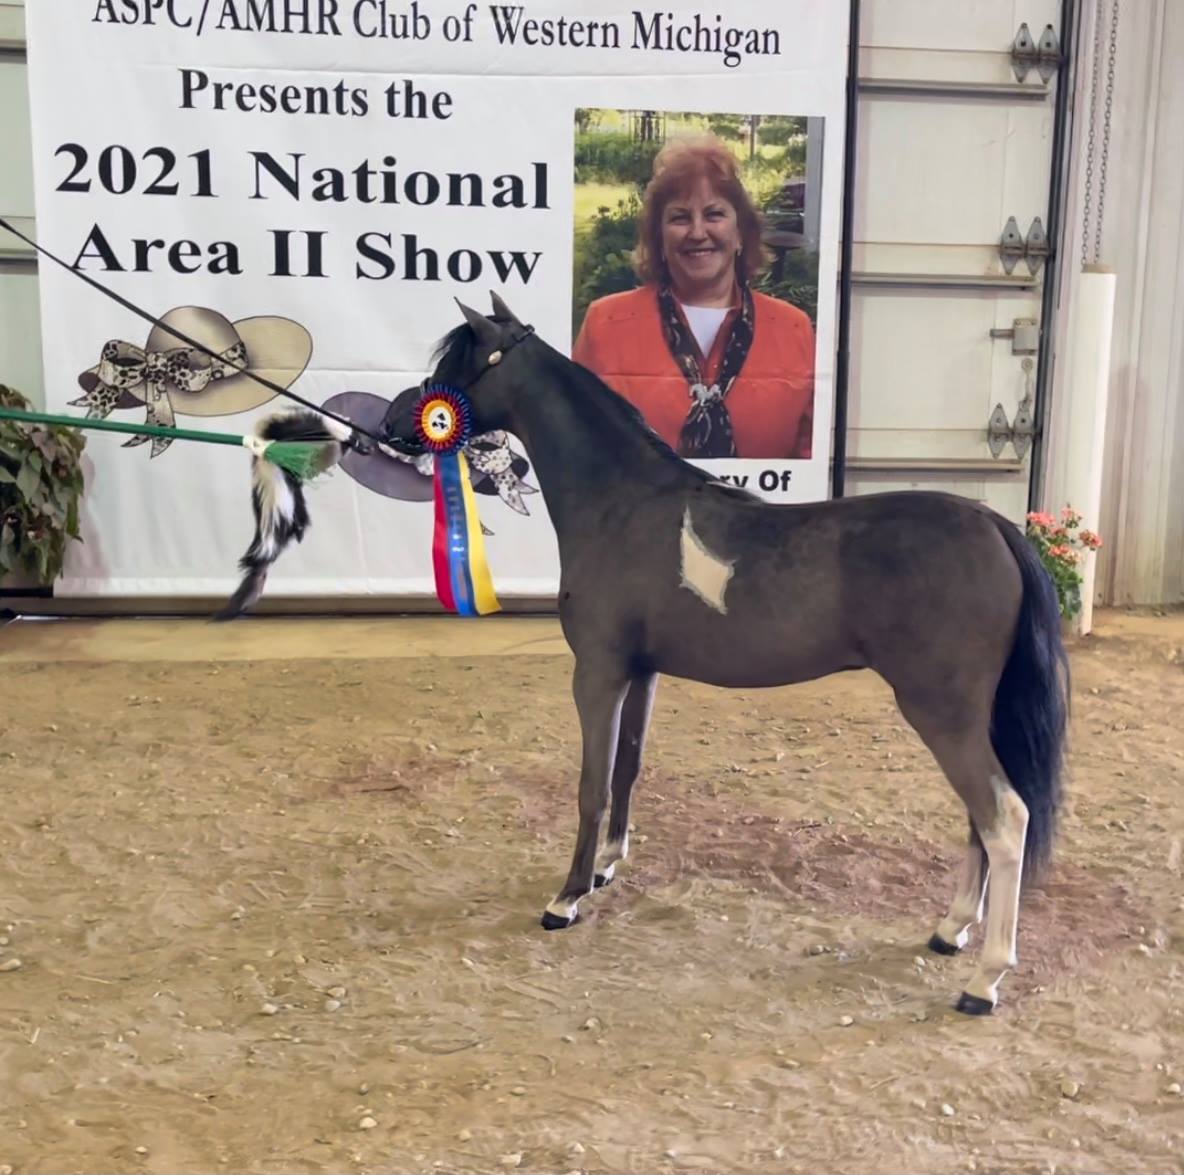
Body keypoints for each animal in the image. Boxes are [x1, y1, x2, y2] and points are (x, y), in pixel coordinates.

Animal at [223, 291, 1070, 1016]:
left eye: (454, 369)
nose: (401, 419)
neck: (620, 502)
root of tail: (993, 527)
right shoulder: (643, 672)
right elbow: (628, 770)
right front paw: (604, 869)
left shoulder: (596, 671)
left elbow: (591, 783)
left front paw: (565, 898)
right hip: (964, 715)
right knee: (982, 819)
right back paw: (950, 930)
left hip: (941, 709)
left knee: (1005, 818)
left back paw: (984, 978)